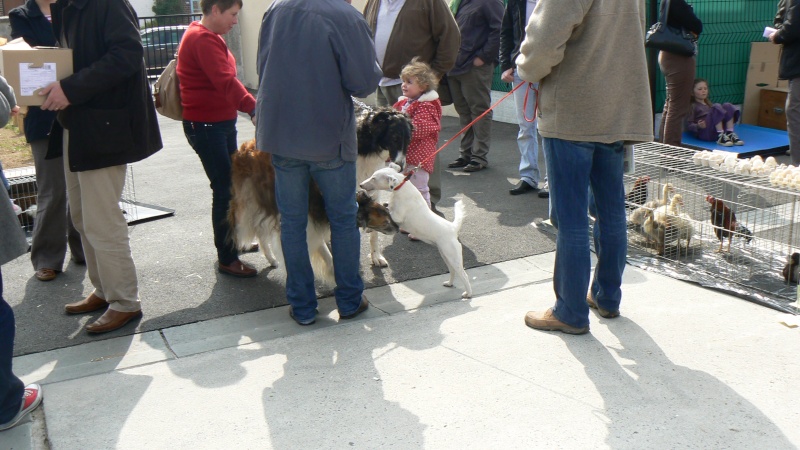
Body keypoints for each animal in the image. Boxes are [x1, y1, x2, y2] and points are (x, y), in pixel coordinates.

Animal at [227, 100, 410, 284]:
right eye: (395, 138)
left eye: (408, 141)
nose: (401, 167)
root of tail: (245, 146)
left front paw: (376, 257)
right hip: (252, 202)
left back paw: (271, 259)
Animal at [360, 165, 472, 298]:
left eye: (373, 178)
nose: (360, 185)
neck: (401, 186)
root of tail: (453, 228)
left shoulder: (397, 216)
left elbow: (386, 213)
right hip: (446, 255)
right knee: (453, 271)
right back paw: (449, 283)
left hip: (453, 256)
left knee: (464, 275)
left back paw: (468, 293)